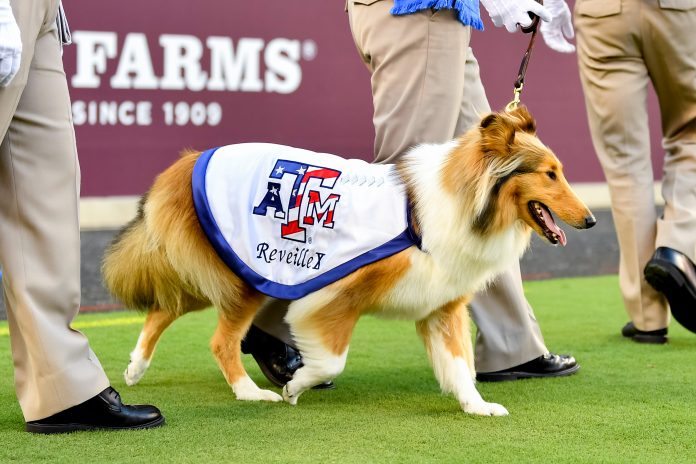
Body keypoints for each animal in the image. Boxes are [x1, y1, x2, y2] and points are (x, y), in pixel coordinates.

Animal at [102, 106, 592, 416]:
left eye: (561, 171)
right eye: (549, 174)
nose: (589, 220)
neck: (454, 203)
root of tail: (185, 164)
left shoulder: (442, 306)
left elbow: (459, 365)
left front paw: (478, 406)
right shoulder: (333, 293)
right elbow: (332, 361)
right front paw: (295, 387)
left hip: (224, 274)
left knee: (163, 307)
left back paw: (135, 367)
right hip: (243, 277)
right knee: (219, 342)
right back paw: (251, 394)